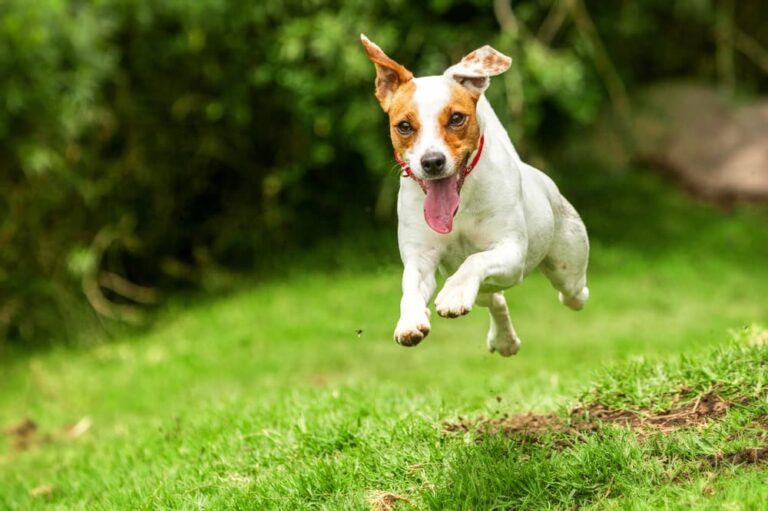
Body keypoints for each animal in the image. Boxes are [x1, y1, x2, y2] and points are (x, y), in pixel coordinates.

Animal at [360, 35, 588, 356]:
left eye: (457, 118)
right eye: (404, 126)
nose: (432, 161)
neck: (460, 205)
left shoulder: (511, 252)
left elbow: (476, 260)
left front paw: (454, 294)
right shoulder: (421, 257)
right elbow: (411, 286)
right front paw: (411, 320)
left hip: (568, 267)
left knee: (574, 293)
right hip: (484, 287)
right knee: (494, 298)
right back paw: (504, 340)